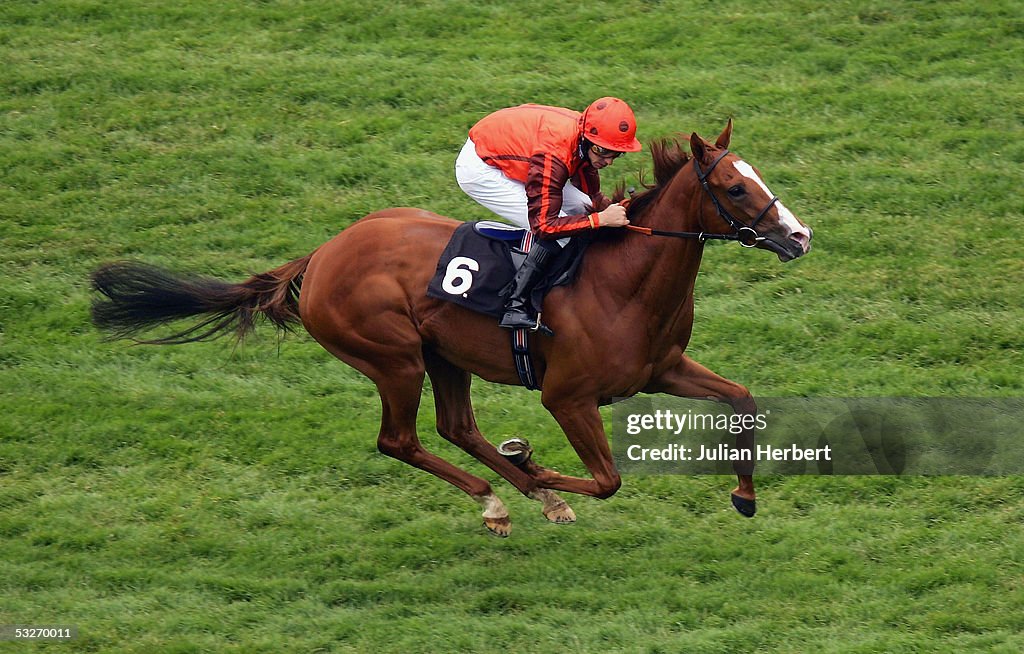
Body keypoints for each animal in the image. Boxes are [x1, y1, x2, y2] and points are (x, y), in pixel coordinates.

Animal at [92, 122, 806, 536]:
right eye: (734, 189)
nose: (799, 236)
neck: (624, 279)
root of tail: (320, 256)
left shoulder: (662, 368)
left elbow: (742, 399)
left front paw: (745, 496)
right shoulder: (567, 396)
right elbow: (608, 480)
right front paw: (534, 469)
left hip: (445, 354)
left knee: (455, 427)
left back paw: (516, 490)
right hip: (395, 357)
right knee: (400, 440)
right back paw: (500, 498)